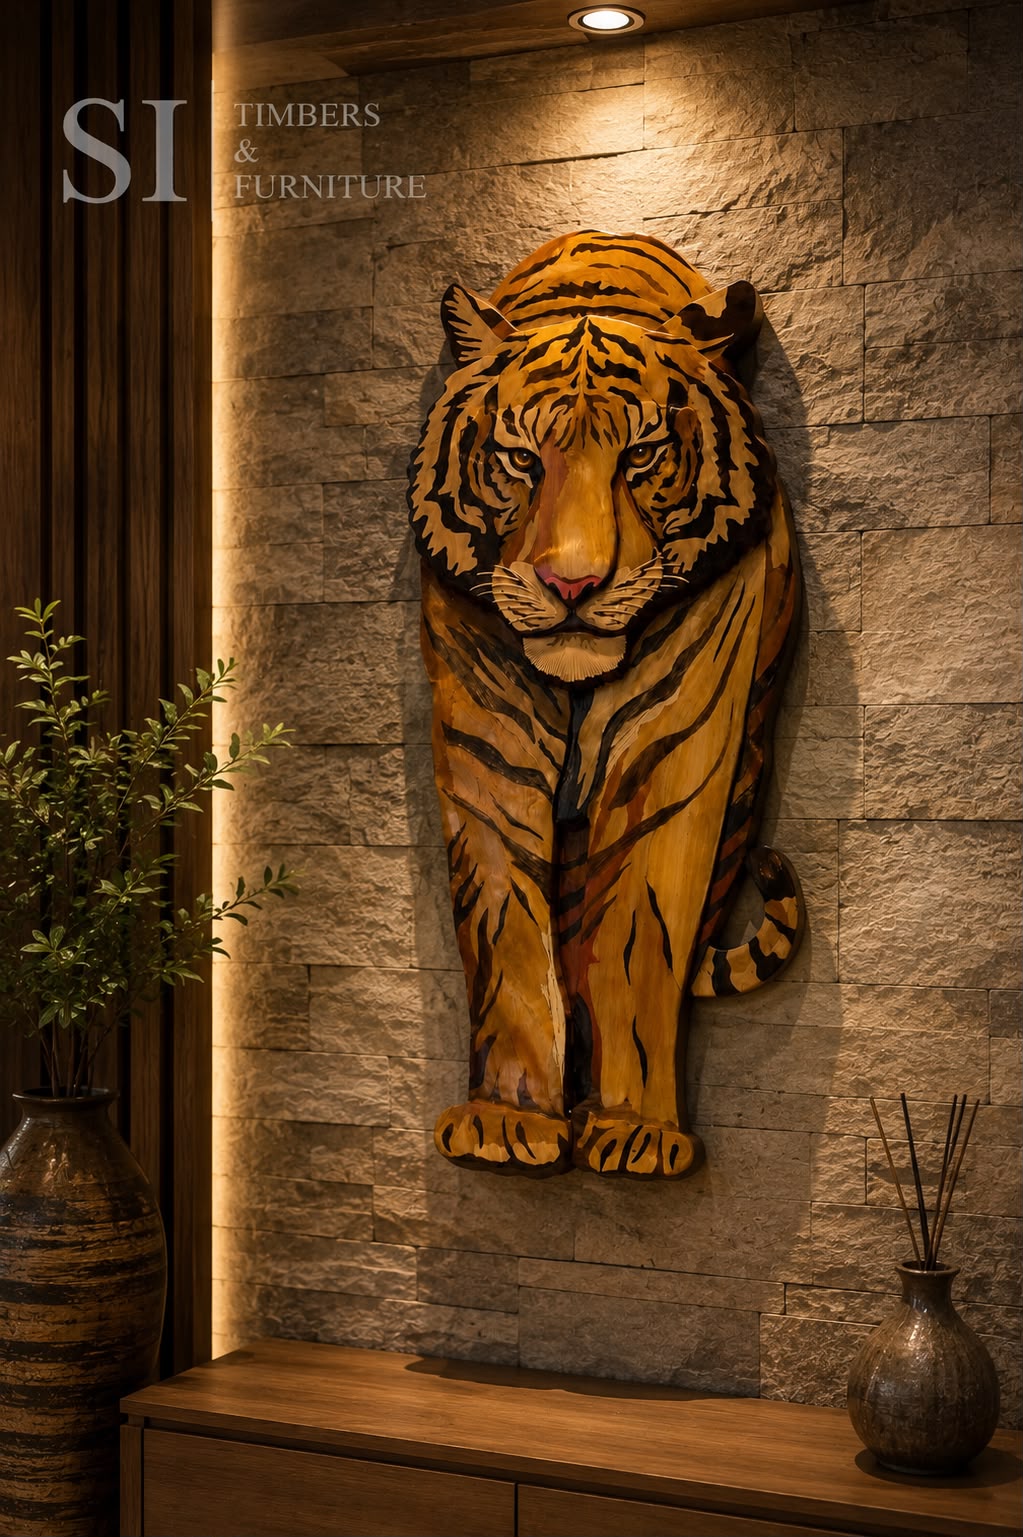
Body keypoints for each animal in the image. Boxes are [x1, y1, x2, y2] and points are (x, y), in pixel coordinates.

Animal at [407, 231, 803, 1180]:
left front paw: (637, 1131)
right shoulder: (486, 743)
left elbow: (638, 932)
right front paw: (507, 1121)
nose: (572, 586)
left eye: (641, 456)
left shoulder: (673, 746)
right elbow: (507, 927)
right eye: (521, 460)